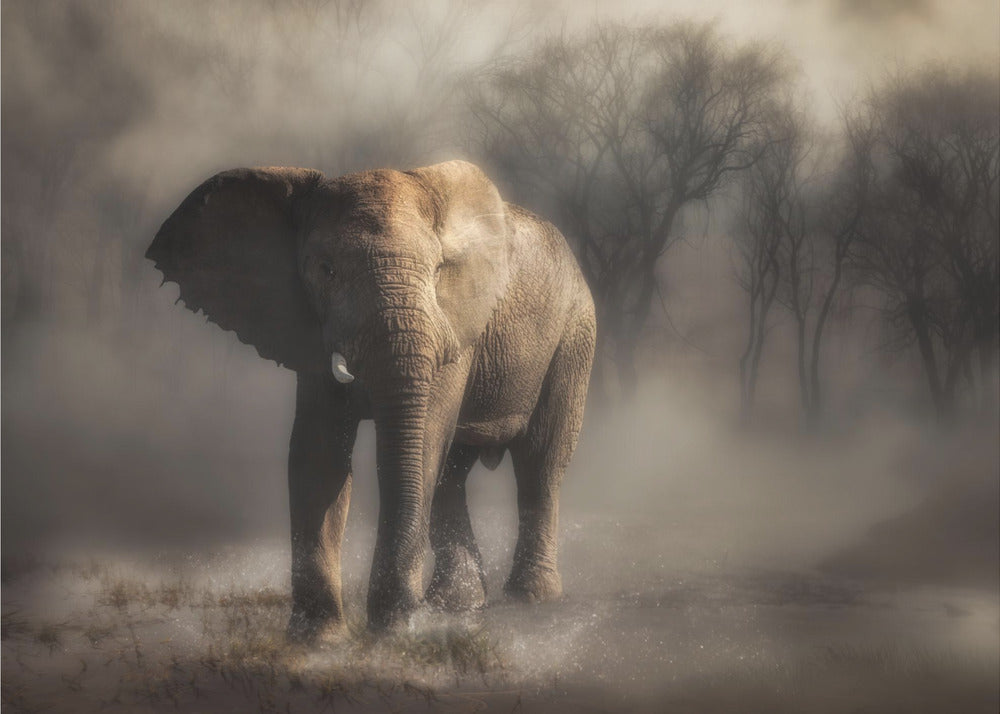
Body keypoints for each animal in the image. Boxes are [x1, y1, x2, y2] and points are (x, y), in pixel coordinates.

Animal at [147, 160, 596, 637]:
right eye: (326, 270)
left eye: (438, 271)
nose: (402, 613)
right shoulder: (310, 329)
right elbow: (317, 455)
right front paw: (320, 639)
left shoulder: (452, 326)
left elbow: (422, 444)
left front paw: (393, 628)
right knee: (453, 473)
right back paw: (455, 605)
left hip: (574, 334)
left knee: (539, 460)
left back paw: (529, 599)